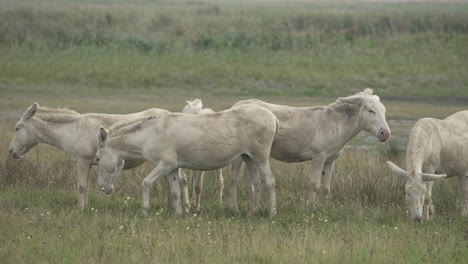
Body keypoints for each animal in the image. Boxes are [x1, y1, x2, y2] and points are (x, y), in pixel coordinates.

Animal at [7, 103, 174, 210]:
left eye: (17, 128)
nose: (11, 151)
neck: (72, 130)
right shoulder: (86, 164)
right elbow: (85, 187)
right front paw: (85, 207)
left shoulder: (82, 162)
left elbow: (81, 187)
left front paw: (80, 210)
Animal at [94, 104, 278, 216]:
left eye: (97, 158)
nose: (103, 188)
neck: (150, 134)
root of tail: (272, 117)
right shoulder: (172, 168)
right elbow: (176, 192)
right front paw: (178, 214)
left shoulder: (164, 165)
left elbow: (146, 183)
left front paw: (144, 211)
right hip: (249, 158)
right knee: (257, 184)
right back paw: (252, 212)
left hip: (261, 158)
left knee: (269, 182)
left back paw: (271, 214)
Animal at [229, 88, 390, 210]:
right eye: (371, 111)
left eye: (384, 110)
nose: (386, 134)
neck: (337, 125)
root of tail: (236, 104)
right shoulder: (319, 157)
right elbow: (314, 185)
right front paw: (309, 209)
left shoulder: (330, 160)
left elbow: (326, 187)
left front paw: (325, 208)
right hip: (240, 154)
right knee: (234, 179)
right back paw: (235, 208)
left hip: (252, 154)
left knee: (248, 179)